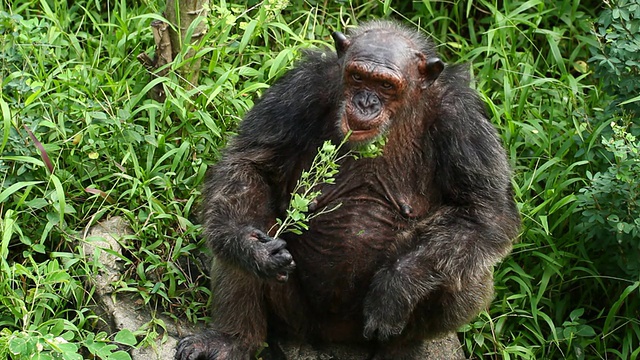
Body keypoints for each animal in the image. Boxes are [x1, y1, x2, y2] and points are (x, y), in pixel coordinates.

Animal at [174, 20, 520, 360]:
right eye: (357, 76)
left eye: (386, 85)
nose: (365, 102)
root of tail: (334, 337)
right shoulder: (298, 88)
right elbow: (250, 163)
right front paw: (251, 248)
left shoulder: (464, 120)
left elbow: (484, 210)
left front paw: (398, 285)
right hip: (296, 317)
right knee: (242, 221)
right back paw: (232, 339)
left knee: (465, 272)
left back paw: (399, 348)